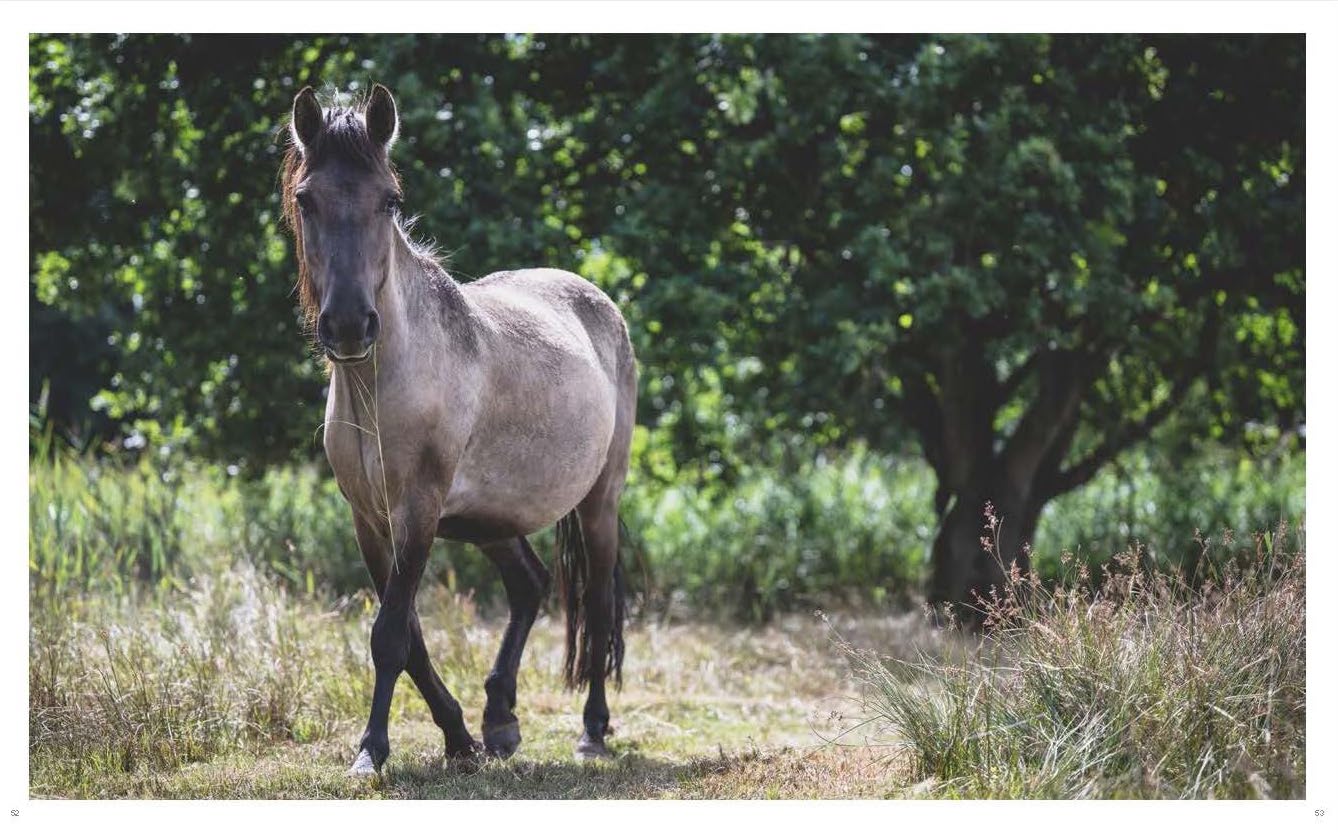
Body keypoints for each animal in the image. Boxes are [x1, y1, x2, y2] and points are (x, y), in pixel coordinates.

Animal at [278, 84, 636, 775]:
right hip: (492, 519)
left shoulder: (418, 509)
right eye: (307, 198)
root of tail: (595, 300)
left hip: (599, 501)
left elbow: (391, 634)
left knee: (599, 606)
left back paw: (591, 730)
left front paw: (372, 749)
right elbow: (408, 634)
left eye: (389, 199)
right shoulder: (370, 519)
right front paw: (459, 737)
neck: (383, 385)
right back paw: (499, 720)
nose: (348, 325)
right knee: (528, 586)